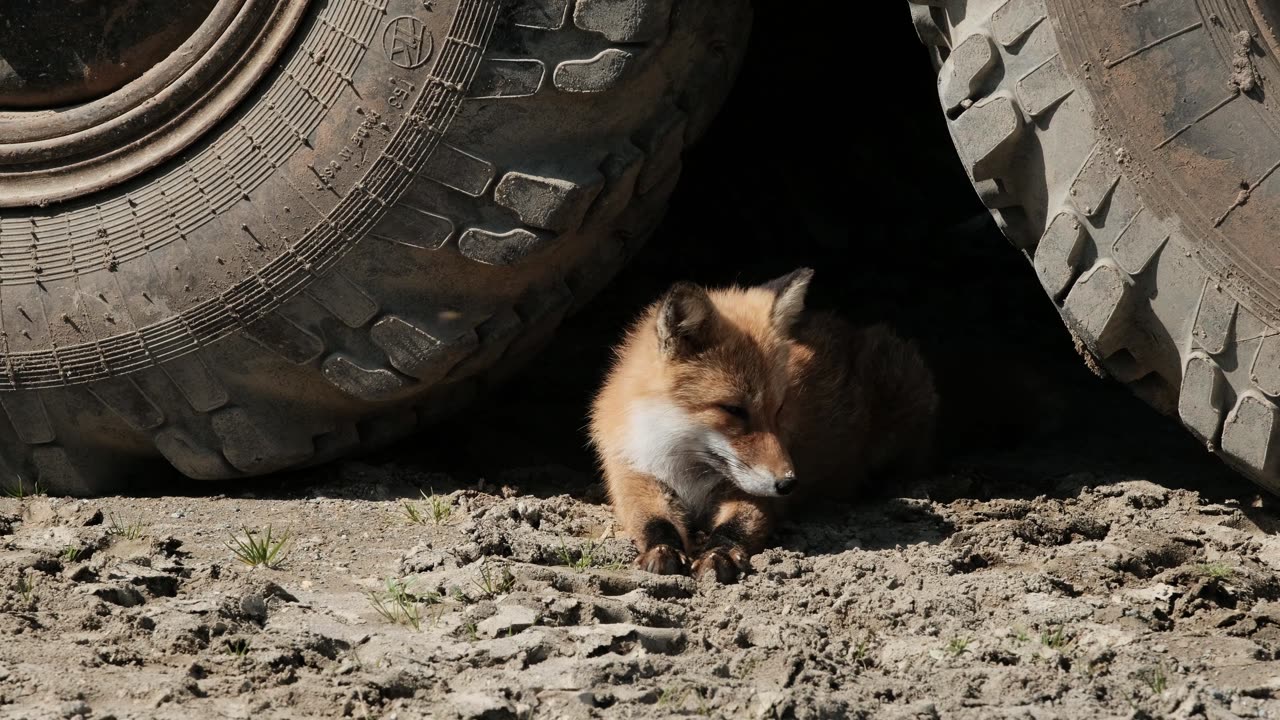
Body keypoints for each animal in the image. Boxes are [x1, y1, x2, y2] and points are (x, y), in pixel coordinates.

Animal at [588, 266, 942, 579]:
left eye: (779, 408)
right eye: (733, 409)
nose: (788, 484)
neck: (685, 465)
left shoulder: (754, 491)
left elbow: (738, 526)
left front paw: (719, 554)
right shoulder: (631, 475)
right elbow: (652, 522)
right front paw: (662, 551)